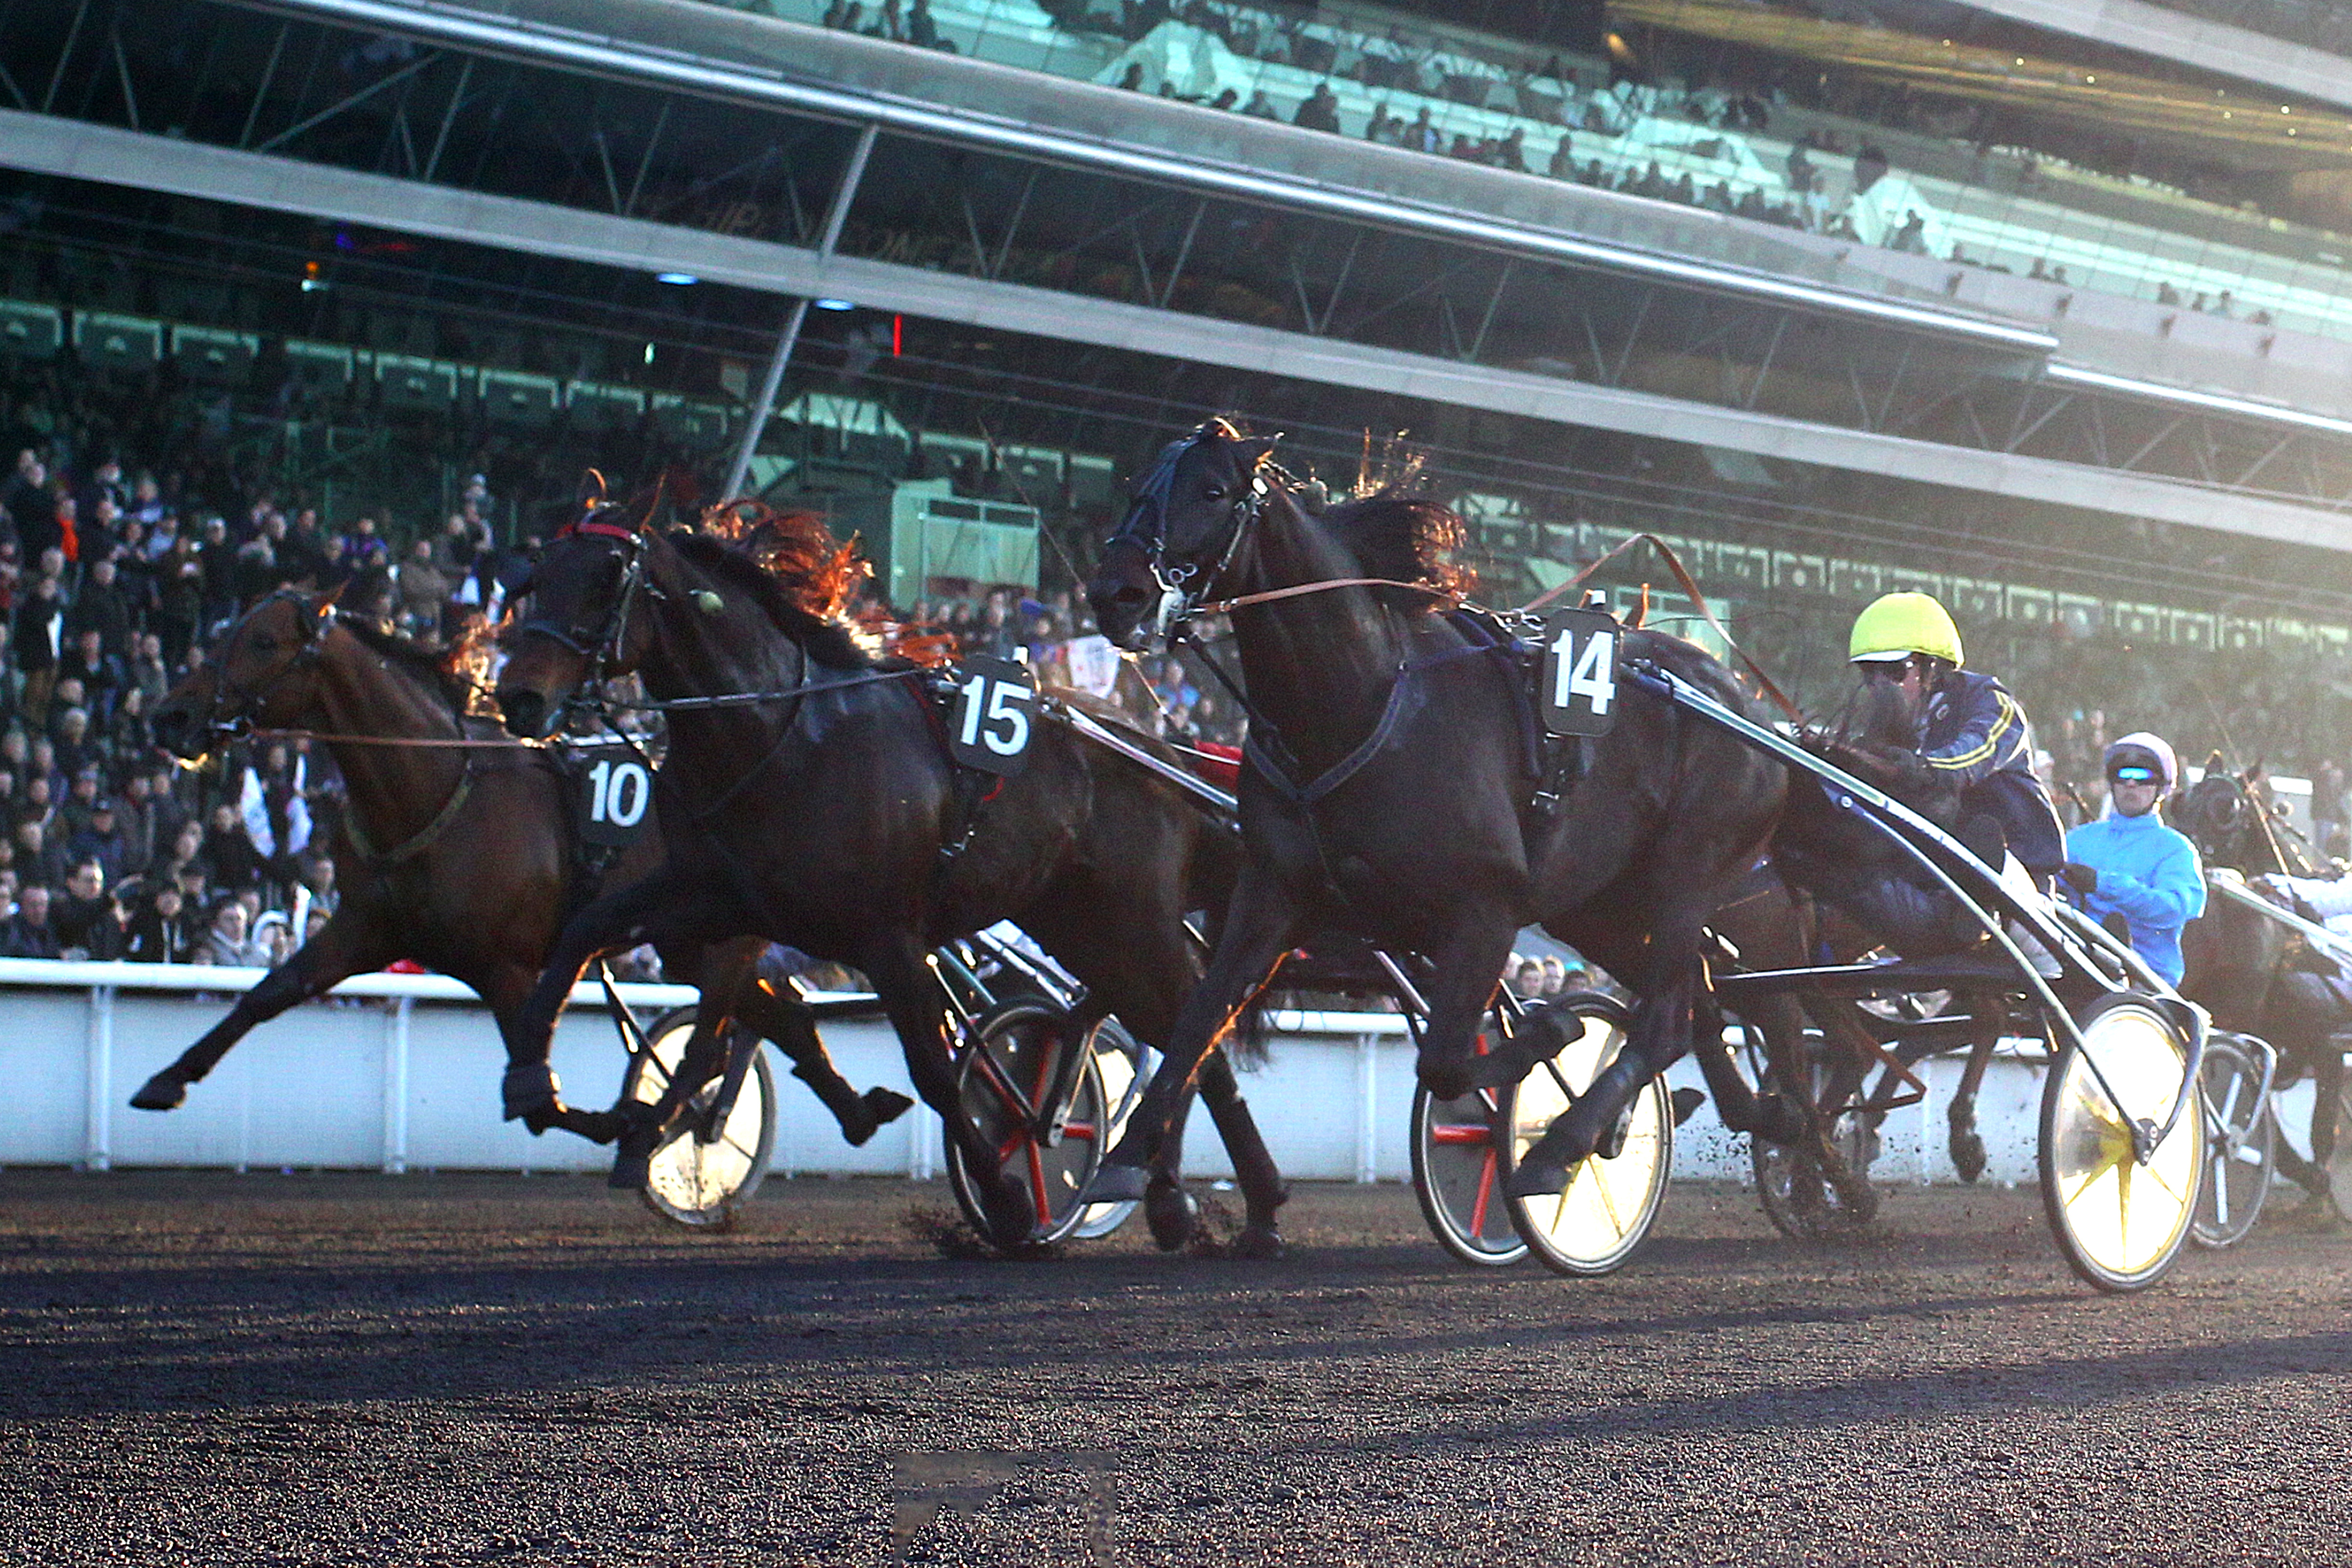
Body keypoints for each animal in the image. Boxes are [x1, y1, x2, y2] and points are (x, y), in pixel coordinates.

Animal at [137, 588, 907, 1152]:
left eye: (263, 642)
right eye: (225, 632)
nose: (170, 714)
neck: (435, 789)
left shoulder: (506, 964)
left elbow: (539, 1095)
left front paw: (616, 1119)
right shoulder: (366, 928)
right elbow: (268, 995)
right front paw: (166, 1081)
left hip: (722, 935)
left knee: (748, 1022)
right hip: (689, 939)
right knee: (781, 1012)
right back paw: (855, 1111)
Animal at [494, 496, 1289, 1260]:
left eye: (606, 578)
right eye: (533, 576)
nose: (518, 697)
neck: (777, 735)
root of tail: (1162, 751)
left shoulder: (887, 933)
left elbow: (933, 1071)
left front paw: (1005, 1198)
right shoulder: (722, 899)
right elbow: (589, 933)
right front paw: (536, 1080)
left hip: (1134, 922)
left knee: (1195, 1027)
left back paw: (1201, 1193)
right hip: (1083, 926)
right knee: (1167, 1026)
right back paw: (1186, 1196)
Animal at [1086, 420, 1797, 1203]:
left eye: (1213, 491)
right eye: (1136, 485)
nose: (1116, 593)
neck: (1358, 704)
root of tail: (1746, 706)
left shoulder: (1488, 907)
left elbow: (1446, 1061)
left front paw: (1549, 1037)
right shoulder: (1272, 892)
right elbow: (1199, 1018)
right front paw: (1126, 1152)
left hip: (1684, 878)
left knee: (1667, 1015)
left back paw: (1564, 1145)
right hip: (1601, 908)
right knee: (1696, 1003)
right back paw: (1745, 1112)